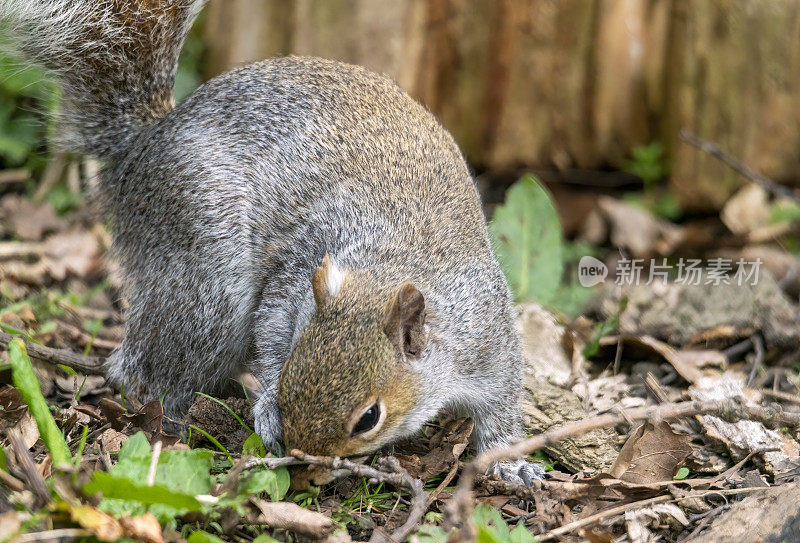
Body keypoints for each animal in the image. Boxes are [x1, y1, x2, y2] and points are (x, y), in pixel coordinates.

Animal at [1, 0, 544, 484]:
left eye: (369, 417)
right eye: (292, 379)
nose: (307, 461)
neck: (389, 267)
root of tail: (144, 148)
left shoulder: (488, 341)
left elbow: (500, 407)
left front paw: (510, 462)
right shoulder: (297, 273)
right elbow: (273, 326)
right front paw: (267, 405)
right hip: (206, 273)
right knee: (148, 364)